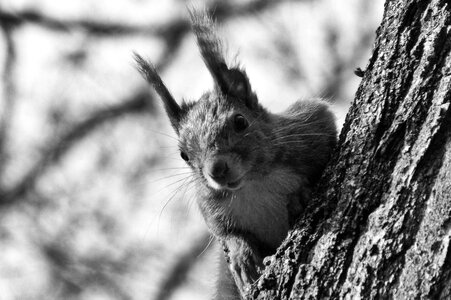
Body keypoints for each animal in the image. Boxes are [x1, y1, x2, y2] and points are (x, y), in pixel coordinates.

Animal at [136, 9, 338, 300]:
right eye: (184, 155)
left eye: (240, 122)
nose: (216, 170)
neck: (254, 183)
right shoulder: (210, 205)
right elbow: (225, 233)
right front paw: (242, 254)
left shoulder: (308, 126)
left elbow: (326, 128)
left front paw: (300, 195)